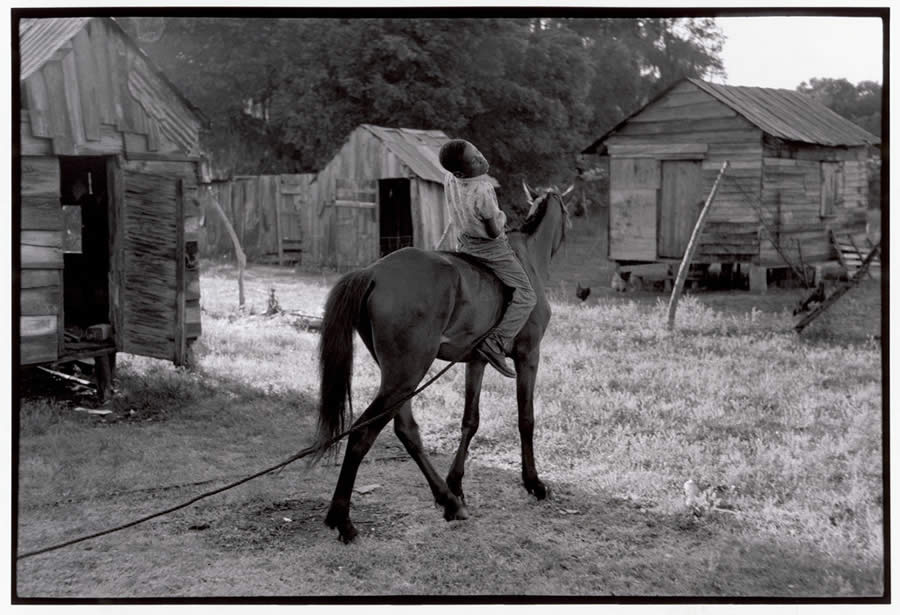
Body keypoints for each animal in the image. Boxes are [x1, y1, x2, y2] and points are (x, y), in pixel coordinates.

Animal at [312, 180, 572, 540]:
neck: (527, 258)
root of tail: (373, 272)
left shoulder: (476, 362)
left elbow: (470, 421)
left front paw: (456, 483)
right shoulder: (528, 355)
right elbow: (526, 419)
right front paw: (533, 483)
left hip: (398, 378)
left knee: (406, 430)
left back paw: (448, 499)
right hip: (407, 375)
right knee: (364, 434)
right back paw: (343, 519)